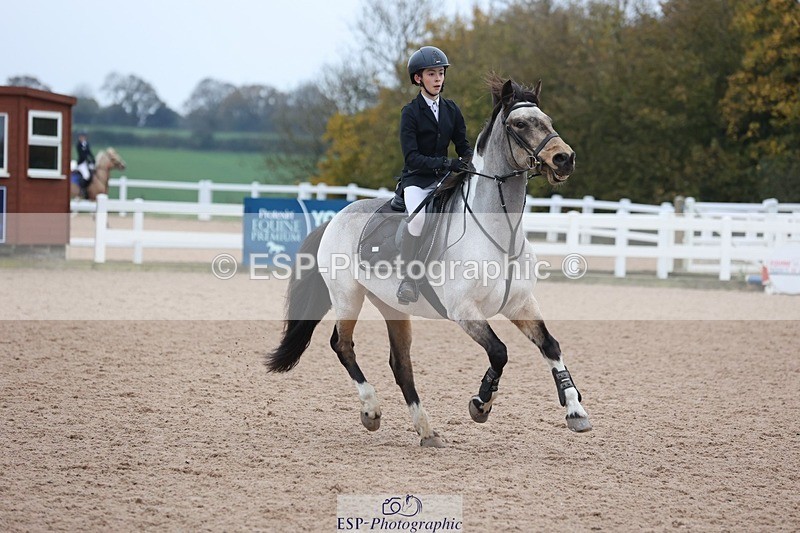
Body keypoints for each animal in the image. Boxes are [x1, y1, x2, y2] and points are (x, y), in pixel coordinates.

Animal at [267, 76, 591, 447]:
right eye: (520, 124)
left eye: (548, 120)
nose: (564, 159)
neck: (500, 235)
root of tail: (336, 218)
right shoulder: (464, 311)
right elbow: (499, 352)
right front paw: (481, 404)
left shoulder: (521, 304)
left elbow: (550, 346)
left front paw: (575, 411)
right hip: (347, 296)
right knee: (342, 345)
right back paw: (371, 411)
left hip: (391, 306)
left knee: (400, 363)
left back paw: (426, 430)